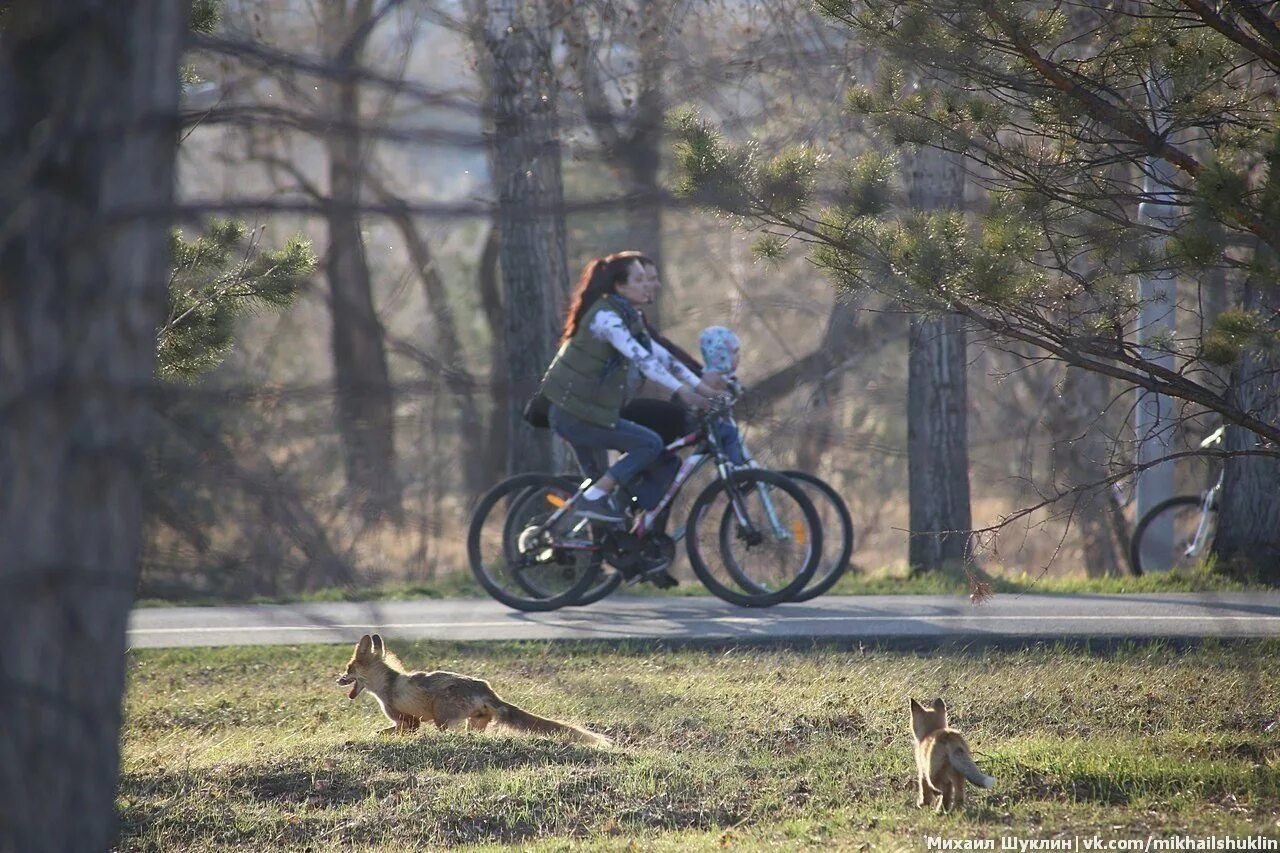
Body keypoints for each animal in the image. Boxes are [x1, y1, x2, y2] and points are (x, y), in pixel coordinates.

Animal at [335, 630, 604, 742]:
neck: (387, 685)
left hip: (442, 718)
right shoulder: (408, 722)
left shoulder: (409, 722)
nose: (338, 679)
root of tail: (485, 688)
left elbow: (391, 731)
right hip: (474, 722)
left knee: (447, 732)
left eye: (348, 669)